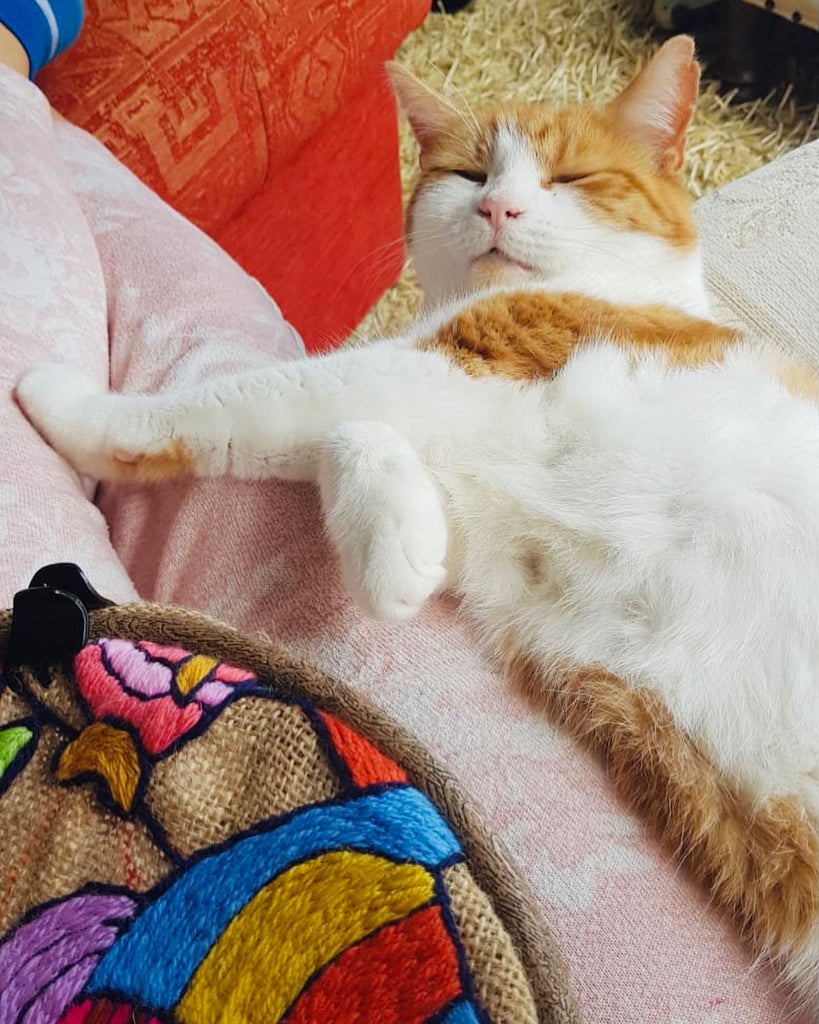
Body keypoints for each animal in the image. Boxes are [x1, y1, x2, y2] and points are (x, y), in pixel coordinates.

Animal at [14, 37, 819, 999]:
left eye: (571, 176)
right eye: (468, 172)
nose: (498, 205)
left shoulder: (455, 362)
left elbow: (246, 400)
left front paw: (65, 404)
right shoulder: (473, 494)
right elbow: (353, 446)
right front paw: (392, 544)